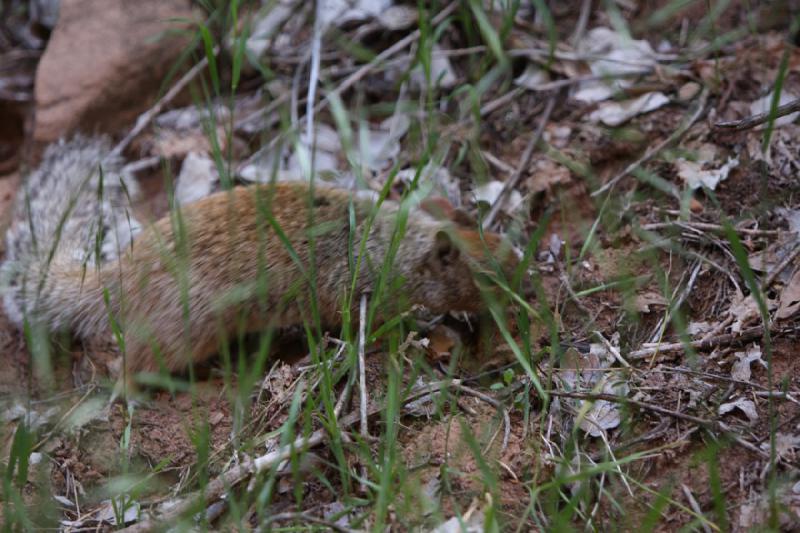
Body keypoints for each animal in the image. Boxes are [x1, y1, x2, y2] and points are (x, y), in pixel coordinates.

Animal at [1, 136, 520, 378]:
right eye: (487, 277)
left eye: (503, 240)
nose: (529, 285)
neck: (395, 243)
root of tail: (120, 274)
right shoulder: (358, 294)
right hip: (185, 329)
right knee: (130, 366)